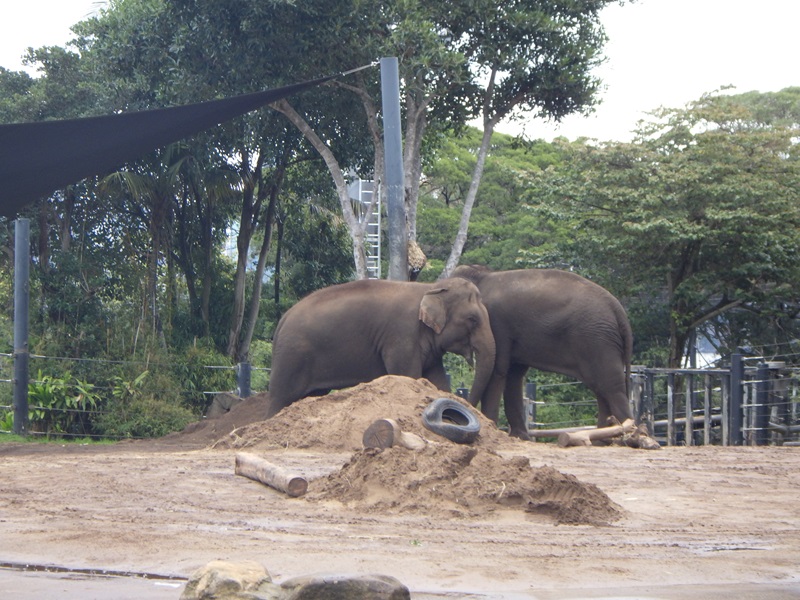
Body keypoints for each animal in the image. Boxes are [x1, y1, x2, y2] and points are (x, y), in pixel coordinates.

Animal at [268, 278, 494, 420]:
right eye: (472, 319)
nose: (467, 407)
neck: (431, 287)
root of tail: (282, 321)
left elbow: (437, 381)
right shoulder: (401, 335)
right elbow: (408, 376)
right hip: (291, 356)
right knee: (280, 399)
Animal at [454, 264, 636, 438]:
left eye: (472, 320)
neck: (482, 276)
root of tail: (618, 310)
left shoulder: (497, 324)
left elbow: (498, 371)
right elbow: (514, 375)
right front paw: (520, 437)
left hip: (597, 340)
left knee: (611, 386)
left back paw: (627, 436)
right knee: (601, 388)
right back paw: (605, 437)